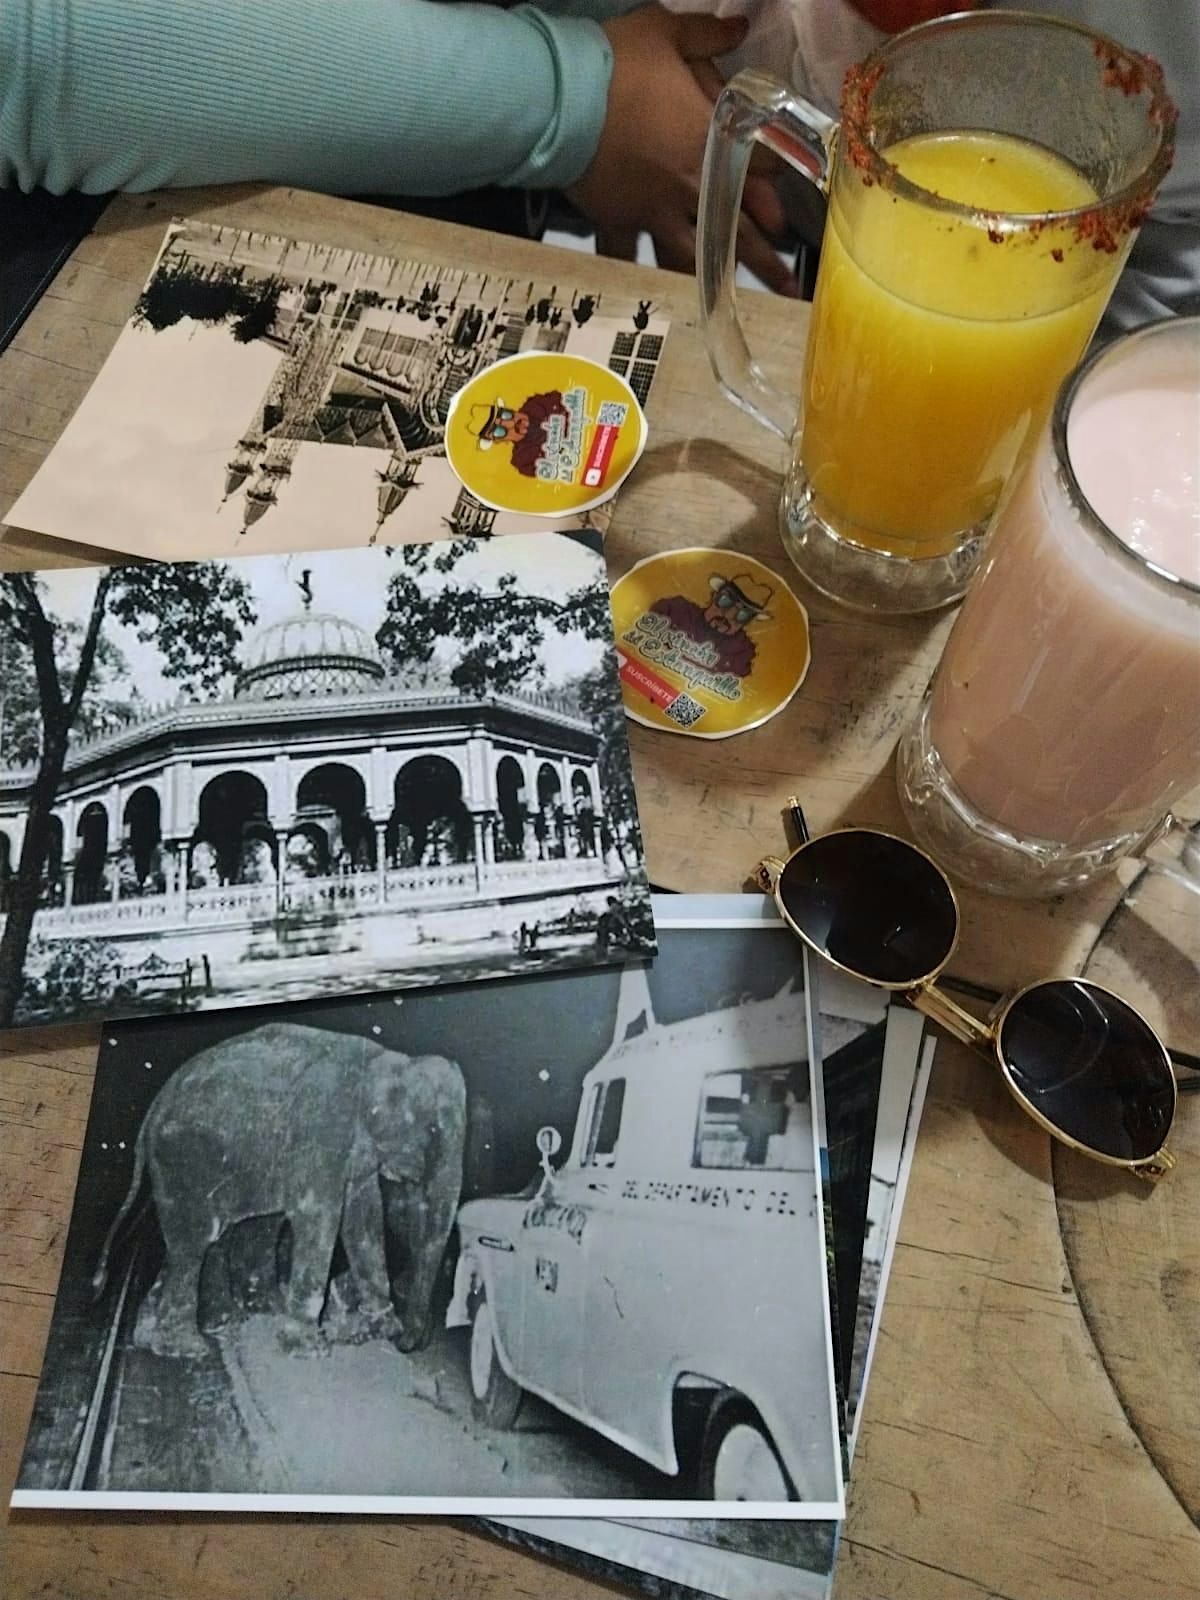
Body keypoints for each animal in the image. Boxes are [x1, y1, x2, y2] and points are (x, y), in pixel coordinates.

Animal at [91, 1024, 467, 1363]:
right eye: (434, 1130)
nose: (404, 1342)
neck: (389, 1060)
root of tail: (150, 1116)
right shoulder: (320, 1128)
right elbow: (320, 1215)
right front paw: (311, 1350)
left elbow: (363, 1218)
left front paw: (376, 1328)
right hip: (184, 1158)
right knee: (197, 1241)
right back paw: (186, 1347)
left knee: (217, 1235)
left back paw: (180, 1329)